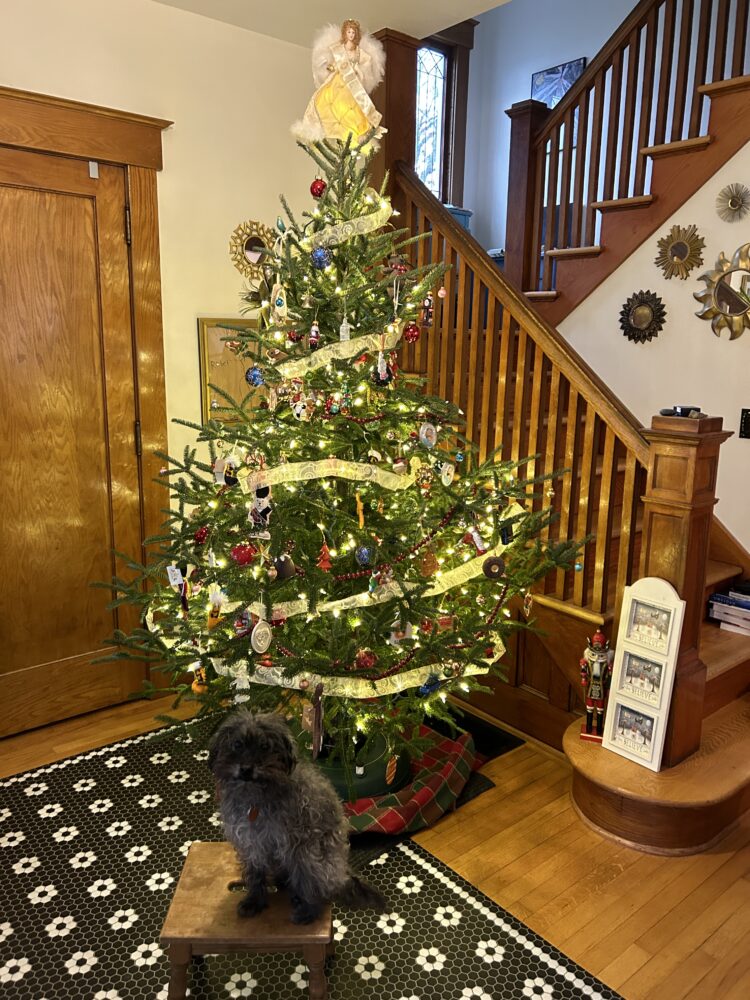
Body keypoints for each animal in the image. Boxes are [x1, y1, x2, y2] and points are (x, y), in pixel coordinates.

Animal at [210, 712, 388, 920]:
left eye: (265, 746)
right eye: (237, 744)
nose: (246, 768)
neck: (255, 799)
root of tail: (343, 870)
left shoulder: (300, 847)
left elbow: (305, 879)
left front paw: (309, 910)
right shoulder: (251, 843)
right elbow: (255, 874)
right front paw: (254, 900)